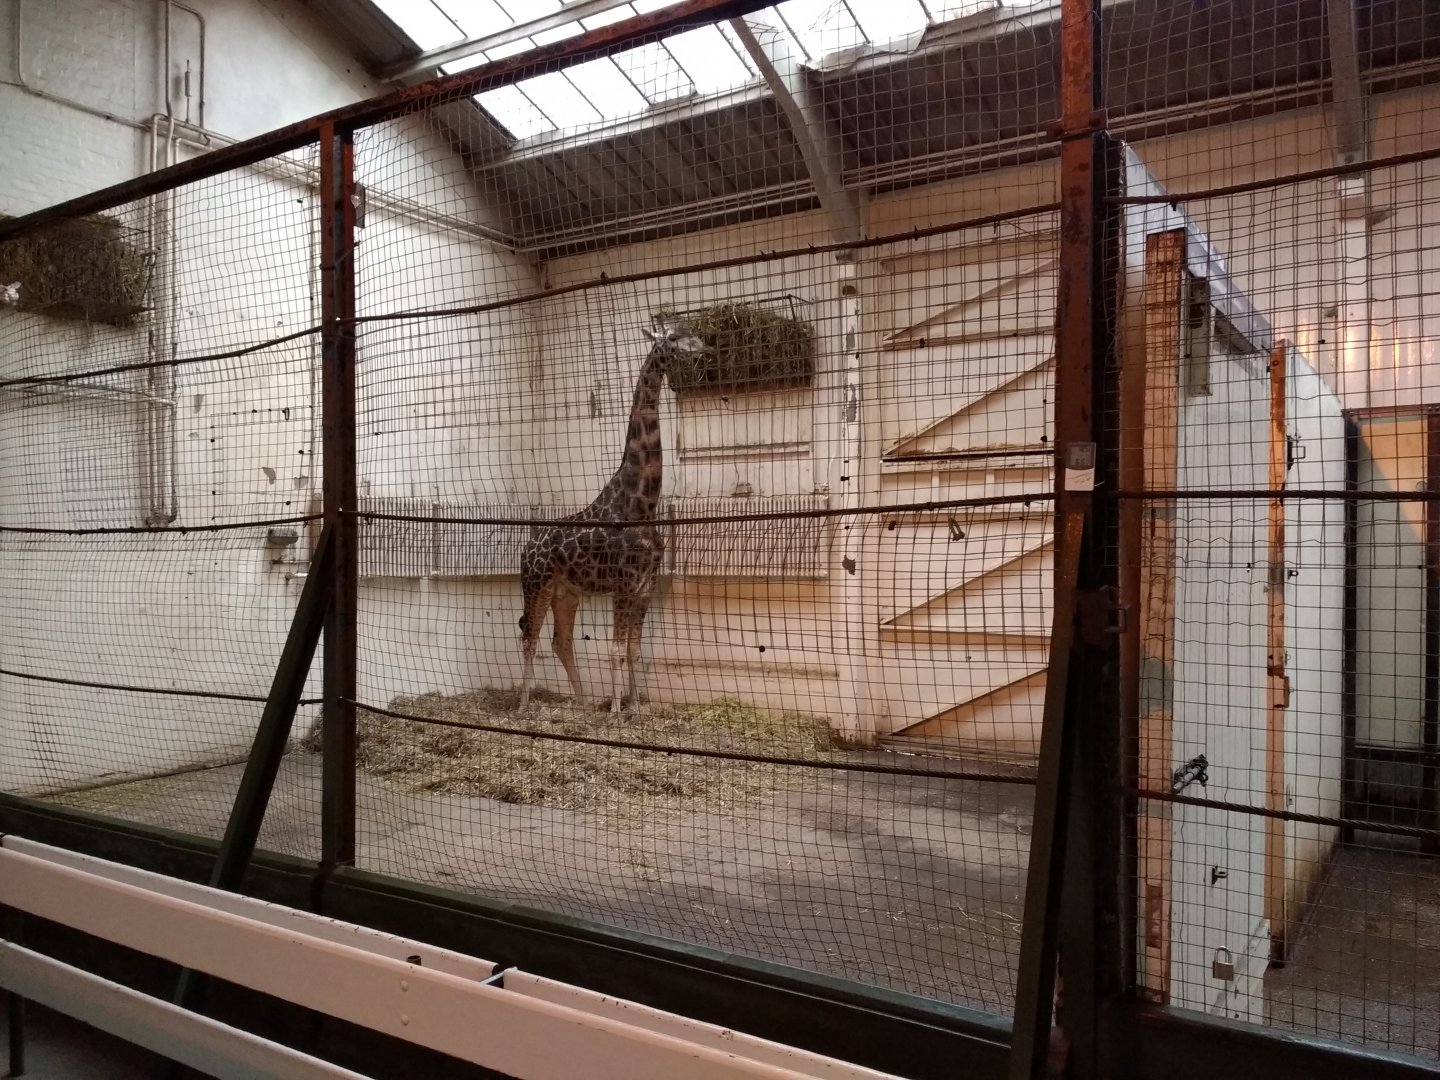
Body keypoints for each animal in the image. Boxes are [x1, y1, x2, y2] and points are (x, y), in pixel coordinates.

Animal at [517, 318, 707, 714]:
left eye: (690, 331)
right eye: (671, 337)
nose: (702, 348)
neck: (642, 503)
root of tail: (526, 549)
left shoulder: (645, 586)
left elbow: (633, 650)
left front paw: (636, 708)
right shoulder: (623, 584)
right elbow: (617, 649)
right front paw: (617, 712)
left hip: (566, 593)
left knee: (560, 641)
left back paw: (583, 703)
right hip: (537, 584)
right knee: (530, 636)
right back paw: (524, 705)